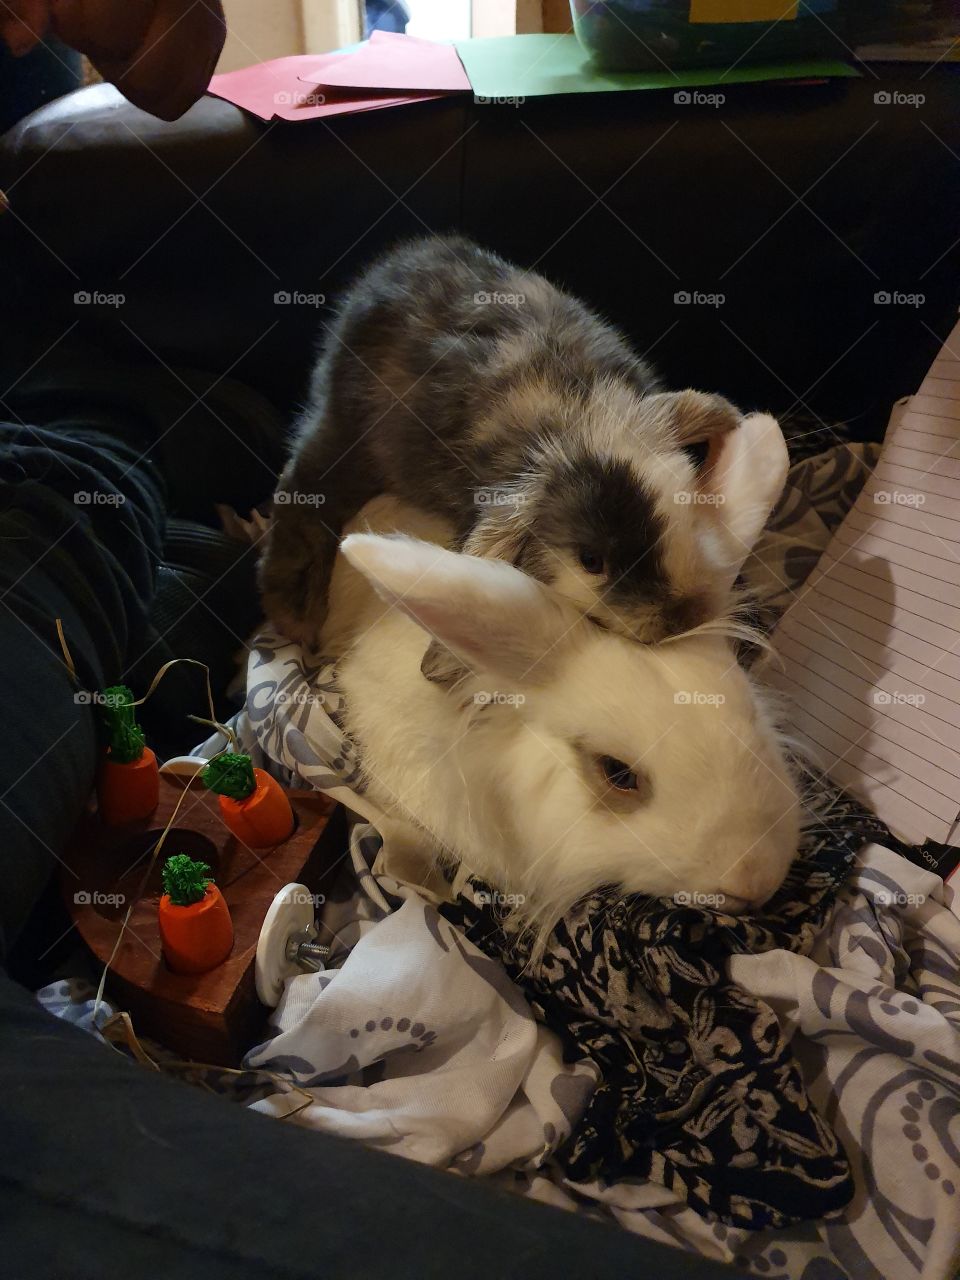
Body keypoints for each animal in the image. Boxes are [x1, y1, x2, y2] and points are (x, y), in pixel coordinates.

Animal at [259, 234, 750, 659]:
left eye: (684, 510)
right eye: (591, 561)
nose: (680, 619)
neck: (569, 424)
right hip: (344, 436)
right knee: (301, 492)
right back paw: (295, 618)